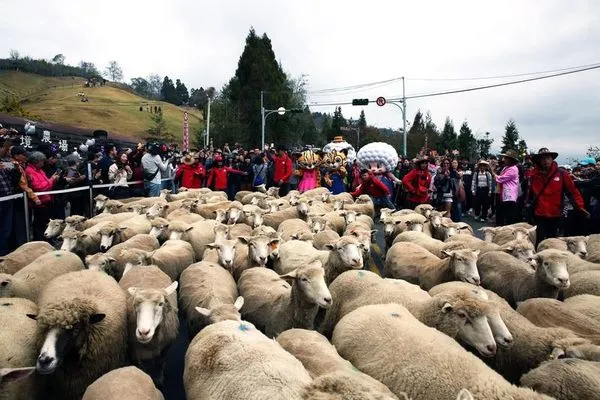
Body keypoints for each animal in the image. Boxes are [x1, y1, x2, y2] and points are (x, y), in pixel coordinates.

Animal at [322, 268, 500, 356]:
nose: (492, 347)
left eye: (485, 317)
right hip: (329, 318)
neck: (422, 310)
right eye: (462, 315)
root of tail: (351, 271)